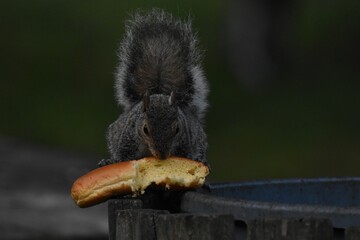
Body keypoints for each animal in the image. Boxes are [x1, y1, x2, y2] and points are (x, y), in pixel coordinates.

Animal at [100, 8, 210, 167]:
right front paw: (113, 160)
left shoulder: (186, 139)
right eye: (145, 129)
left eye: (177, 129)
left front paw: (197, 159)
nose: (162, 155)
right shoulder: (127, 137)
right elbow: (123, 155)